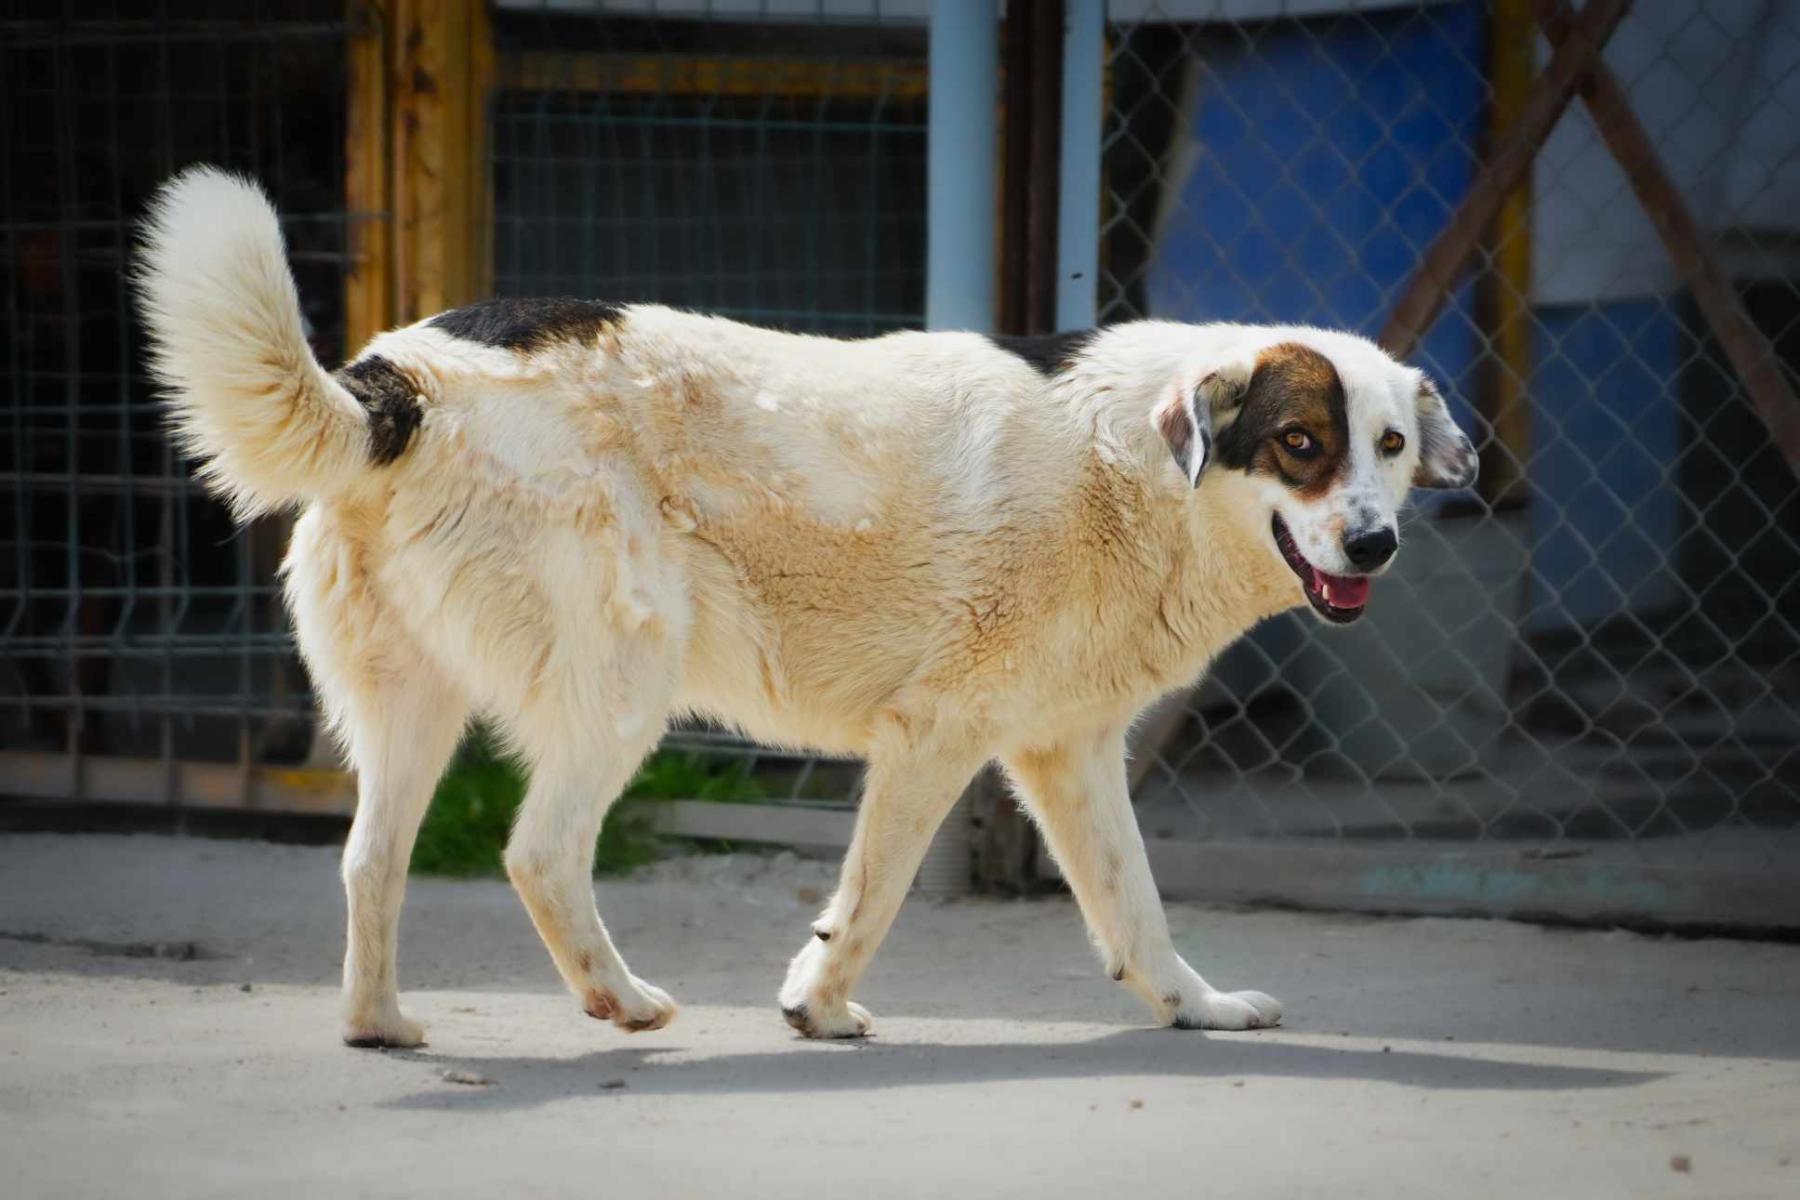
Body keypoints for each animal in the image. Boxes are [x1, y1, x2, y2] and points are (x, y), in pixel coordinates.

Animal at [136, 167, 1476, 1045]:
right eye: (1301, 444)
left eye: (1393, 445)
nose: (1376, 541)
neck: (1139, 467)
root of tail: (400, 376)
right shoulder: (936, 739)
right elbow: (870, 902)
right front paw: (817, 1009)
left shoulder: (1069, 751)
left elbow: (1136, 911)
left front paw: (1196, 1009)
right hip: (625, 685)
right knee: (540, 851)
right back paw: (620, 1000)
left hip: (411, 713)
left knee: (369, 861)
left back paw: (379, 1026)